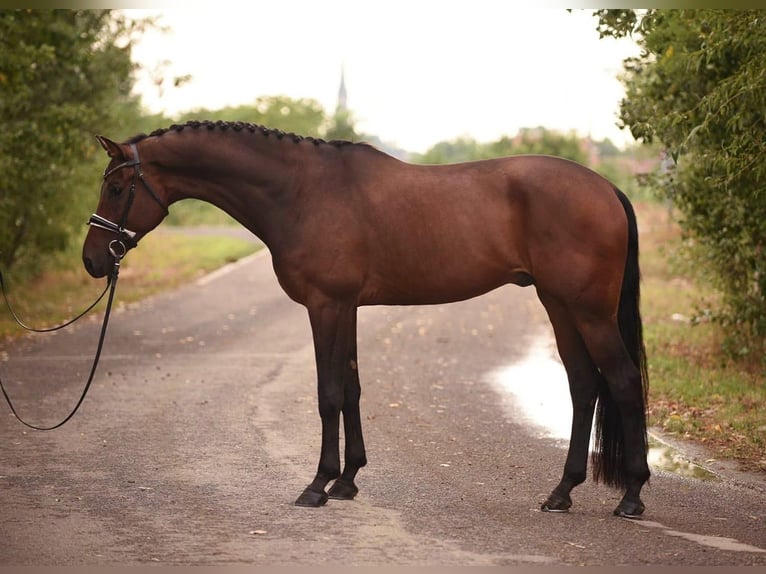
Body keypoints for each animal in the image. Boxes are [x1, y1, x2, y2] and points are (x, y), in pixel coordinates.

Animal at [84, 119, 652, 520]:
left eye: (116, 189)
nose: (92, 261)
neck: (300, 191)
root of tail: (607, 188)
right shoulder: (348, 308)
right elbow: (352, 389)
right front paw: (347, 481)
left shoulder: (326, 306)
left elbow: (328, 393)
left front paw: (317, 486)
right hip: (559, 305)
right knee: (584, 384)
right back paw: (561, 492)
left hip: (588, 310)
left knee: (622, 381)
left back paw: (632, 496)